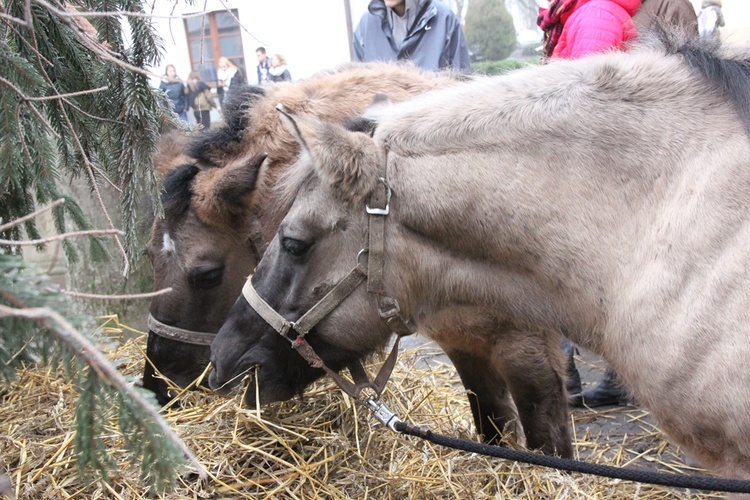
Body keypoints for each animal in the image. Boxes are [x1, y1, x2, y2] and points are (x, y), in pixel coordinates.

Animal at [142, 60, 576, 456]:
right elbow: (493, 431)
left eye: (207, 274)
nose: (155, 387)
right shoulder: (464, 345)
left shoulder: (527, 353)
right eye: (149, 257)